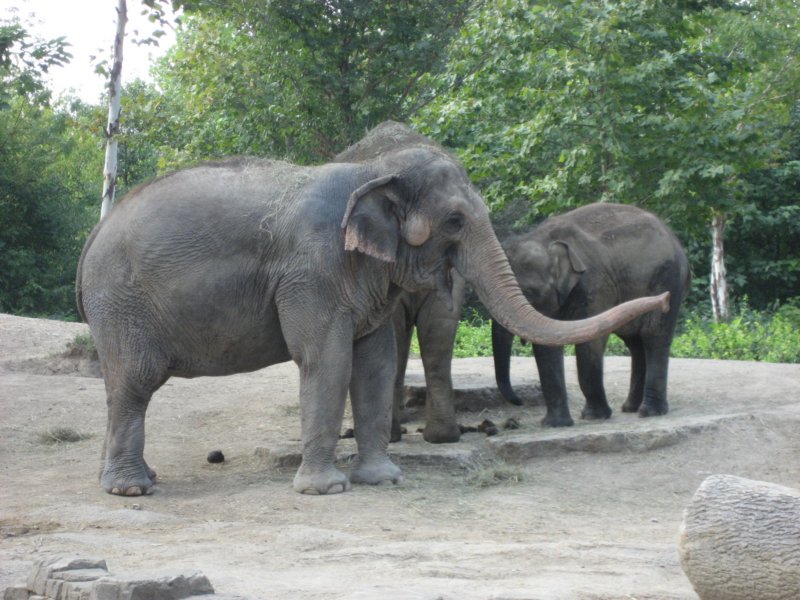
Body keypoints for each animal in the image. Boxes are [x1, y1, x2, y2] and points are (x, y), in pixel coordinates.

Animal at [492, 202, 690, 426]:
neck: (545, 239)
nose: (519, 401)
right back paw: (630, 408)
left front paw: (593, 416)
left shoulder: (595, 284)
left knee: (653, 336)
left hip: (668, 278)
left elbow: (590, 342)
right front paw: (556, 424)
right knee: (635, 343)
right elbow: (547, 345)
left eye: (529, 292)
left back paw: (650, 412)